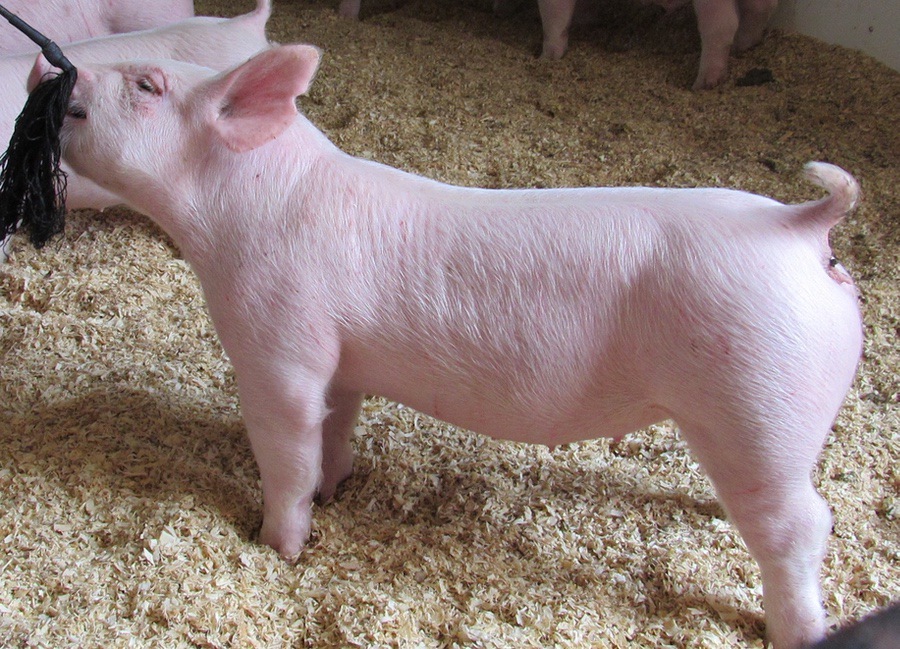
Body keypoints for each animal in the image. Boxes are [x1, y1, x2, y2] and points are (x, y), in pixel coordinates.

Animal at [49, 45, 862, 649]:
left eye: (147, 84)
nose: (59, 74)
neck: (233, 210)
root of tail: (801, 227)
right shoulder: (343, 360)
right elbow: (336, 427)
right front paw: (336, 487)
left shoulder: (278, 342)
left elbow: (288, 448)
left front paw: (278, 545)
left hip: (760, 395)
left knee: (803, 523)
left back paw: (795, 631)